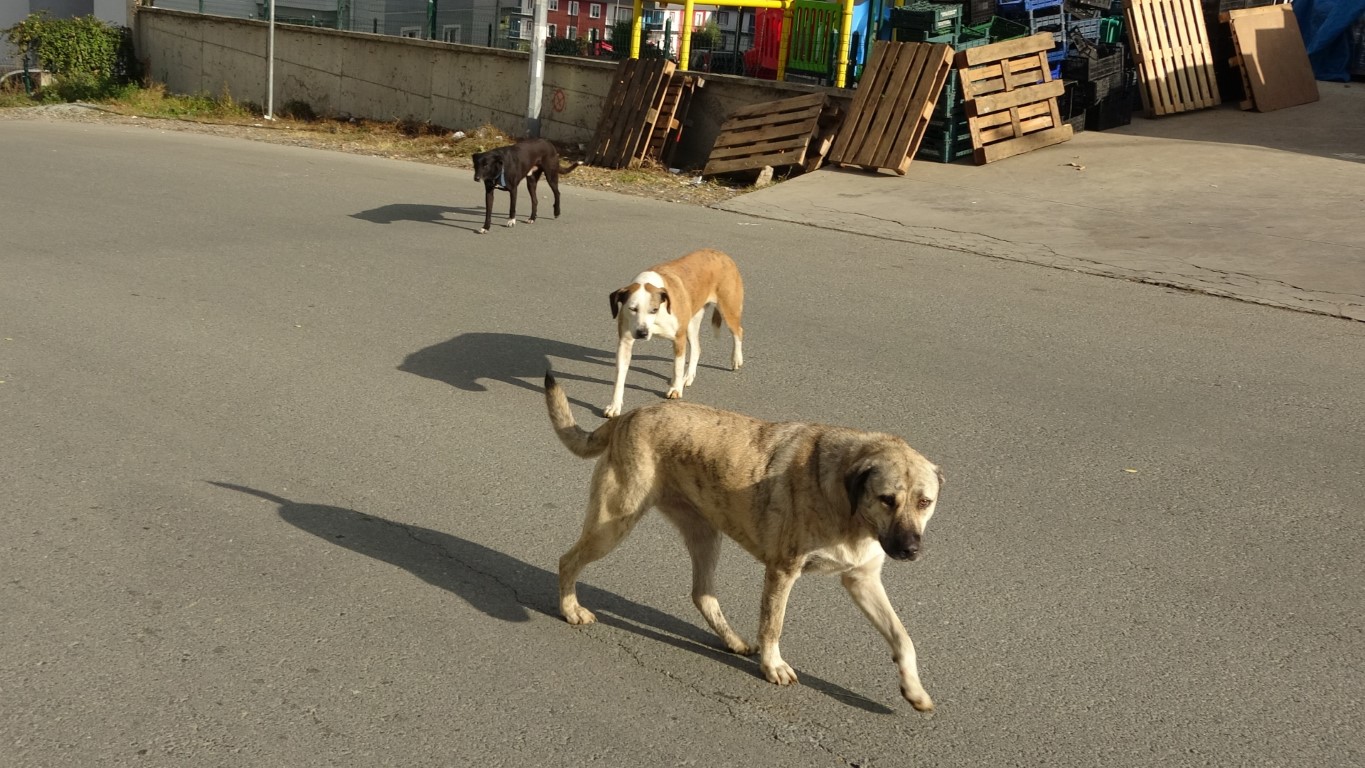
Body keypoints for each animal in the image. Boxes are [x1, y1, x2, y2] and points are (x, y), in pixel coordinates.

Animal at [540, 373, 939, 709]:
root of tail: (631, 414)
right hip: (612, 526)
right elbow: (773, 625)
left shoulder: (862, 579)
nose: (910, 550)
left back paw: (731, 640)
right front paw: (772, 665)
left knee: (702, 594)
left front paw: (914, 689)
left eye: (925, 502)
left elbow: (903, 638)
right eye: (887, 499)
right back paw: (570, 608)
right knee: (567, 561)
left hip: (704, 534)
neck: (848, 504)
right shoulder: (782, 571)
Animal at [606, 248, 748, 417]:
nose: (642, 333)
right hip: (692, 321)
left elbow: (677, 366)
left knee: (738, 332)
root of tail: (721, 253)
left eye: (654, 310)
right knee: (697, 348)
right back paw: (688, 376)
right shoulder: (625, 342)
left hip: (728, 309)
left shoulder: (678, 338)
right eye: (632, 309)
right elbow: (619, 377)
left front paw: (675, 389)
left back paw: (736, 359)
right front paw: (614, 405)